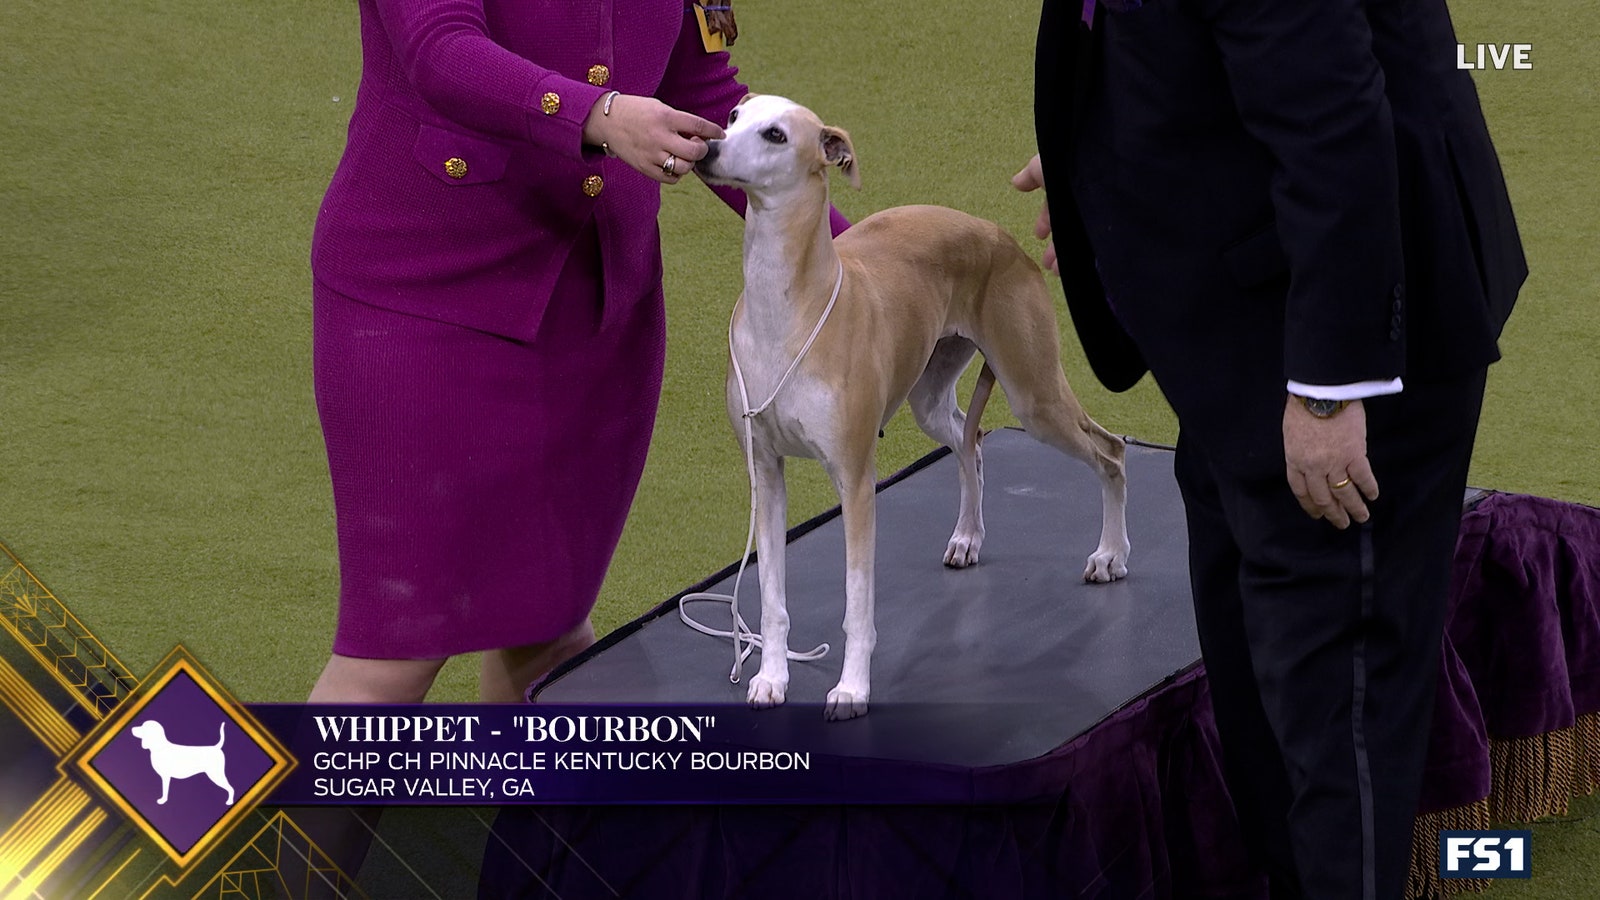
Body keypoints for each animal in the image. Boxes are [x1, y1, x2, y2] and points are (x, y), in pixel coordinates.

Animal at [697, 94, 1126, 717]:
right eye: (732, 117)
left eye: (775, 134)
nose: (706, 148)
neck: (785, 311)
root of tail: (999, 235)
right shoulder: (766, 472)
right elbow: (772, 598)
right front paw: (772, 678)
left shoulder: (855, 479)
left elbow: (857, 605)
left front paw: (852, 689)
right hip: (929, 397)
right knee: (972, 444)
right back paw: (967, 537)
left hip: (1034, 393)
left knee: (1110, 450)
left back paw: (1110, 555)